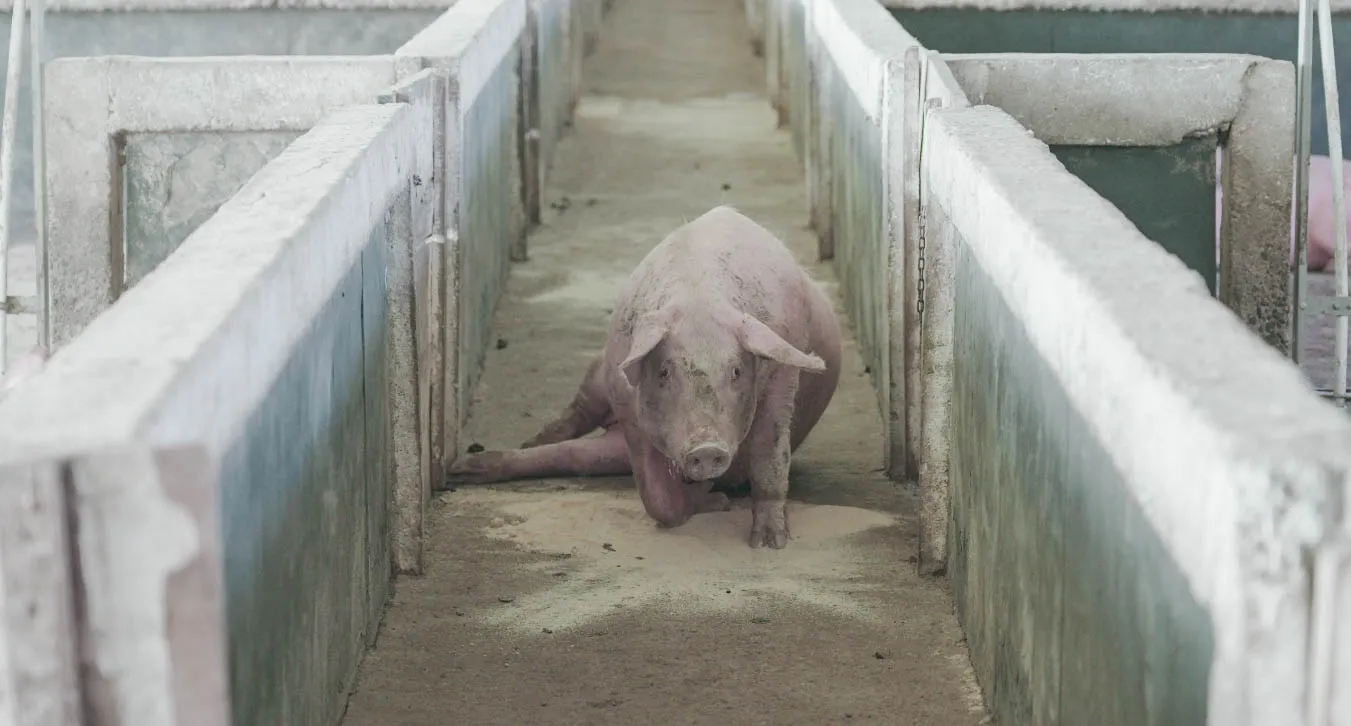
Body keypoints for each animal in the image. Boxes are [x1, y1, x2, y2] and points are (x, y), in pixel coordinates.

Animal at [448, 206, 843, 549]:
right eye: (665, 371)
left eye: (736, 371)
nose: (707, 449)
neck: (699, 298)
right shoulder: (627, 406)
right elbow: (656, 499)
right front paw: (711, 499)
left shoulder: (782, 374)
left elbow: (769, 454)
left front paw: (769, 543)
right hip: (599, 373)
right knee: (573, 423)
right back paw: (486, 458)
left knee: (574, 456)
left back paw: (463, 469)